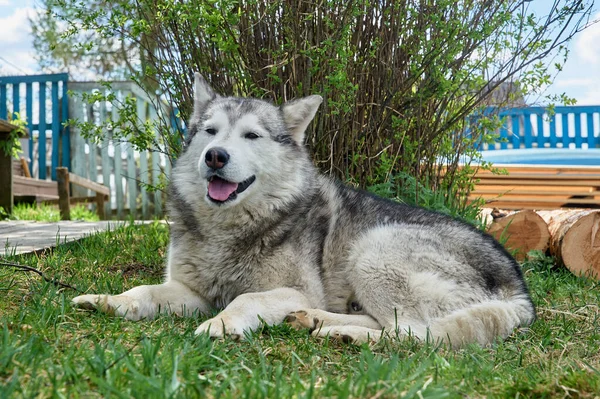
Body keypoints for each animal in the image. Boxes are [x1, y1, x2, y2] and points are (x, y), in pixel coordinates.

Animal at [72, 73, 536, 348]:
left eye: (251, 136)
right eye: (210, 132)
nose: (215, 156)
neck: (231, 229)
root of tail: (519, 289)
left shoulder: (292, 289)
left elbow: (245, 299)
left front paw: (222, 325)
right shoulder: (191, 292)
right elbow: (144, 290)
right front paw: (109, 301)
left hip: (373, 251)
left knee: (413, 333)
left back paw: (341, 331)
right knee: (392, 325)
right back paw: (315, 321)